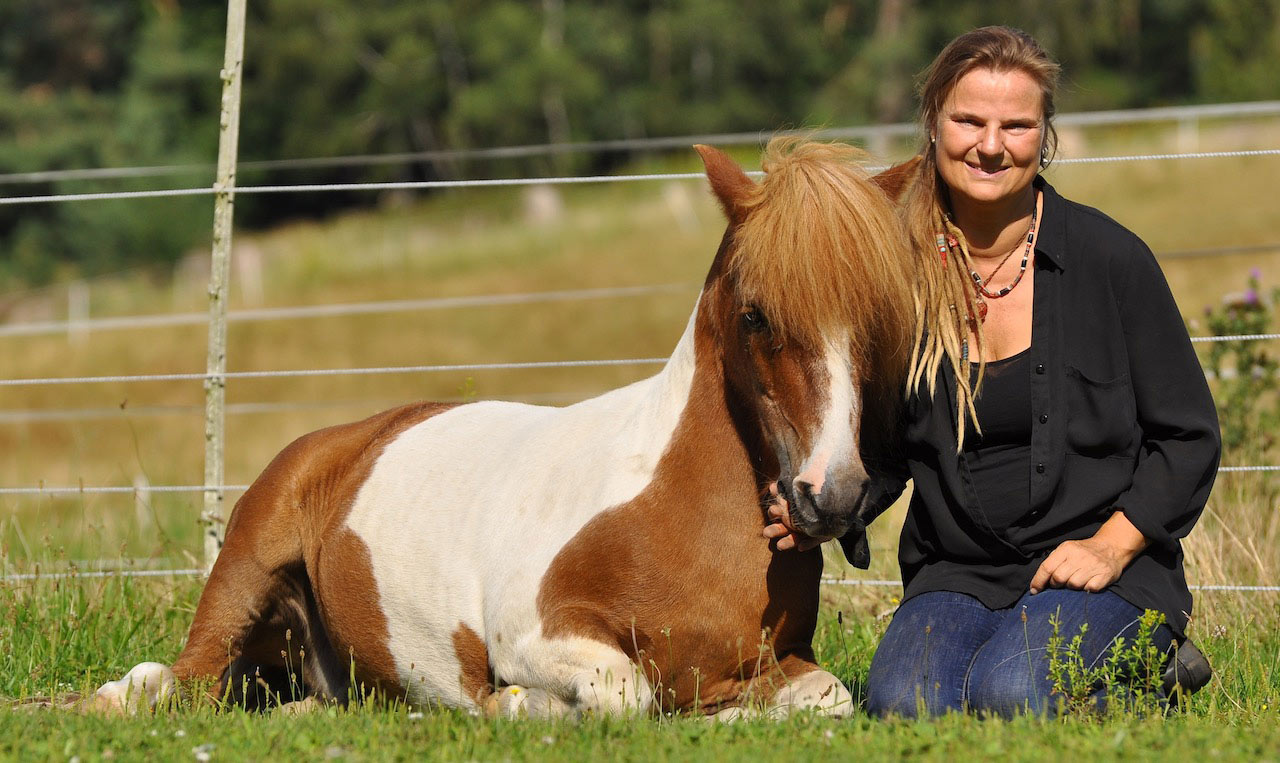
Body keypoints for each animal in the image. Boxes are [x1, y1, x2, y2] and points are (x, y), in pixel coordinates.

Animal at [97, 143, 921, 722]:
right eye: (754, 315)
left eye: (881, 320)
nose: (833, 494)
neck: (677, 514)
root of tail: (338, 441)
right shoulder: (536, 636)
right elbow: (624, 692)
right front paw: (512, 706)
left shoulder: (785, 663)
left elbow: (824, 698)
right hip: (242, 576)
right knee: (174, 682)